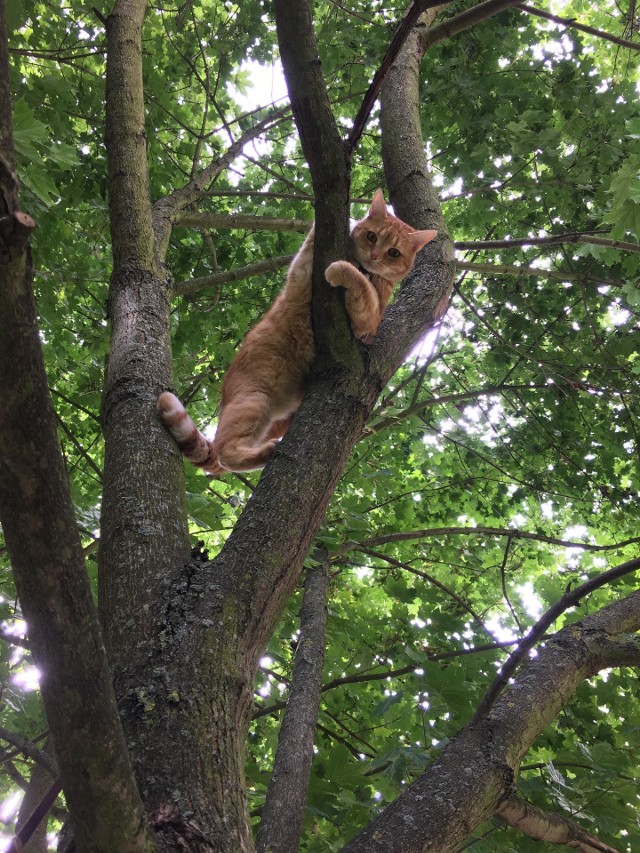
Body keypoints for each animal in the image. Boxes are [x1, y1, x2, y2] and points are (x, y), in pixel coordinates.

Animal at [158, 188, 436, 472]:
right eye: (372, 237)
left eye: (394, 252)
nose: (375, 256)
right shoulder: (303, 269)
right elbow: (314, 244)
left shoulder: (368, 323)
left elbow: (360, 285)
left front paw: (342, 269)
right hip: (254, 400)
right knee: (225, 452)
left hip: (264, 412)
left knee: (225, 454)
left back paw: (265, 453)